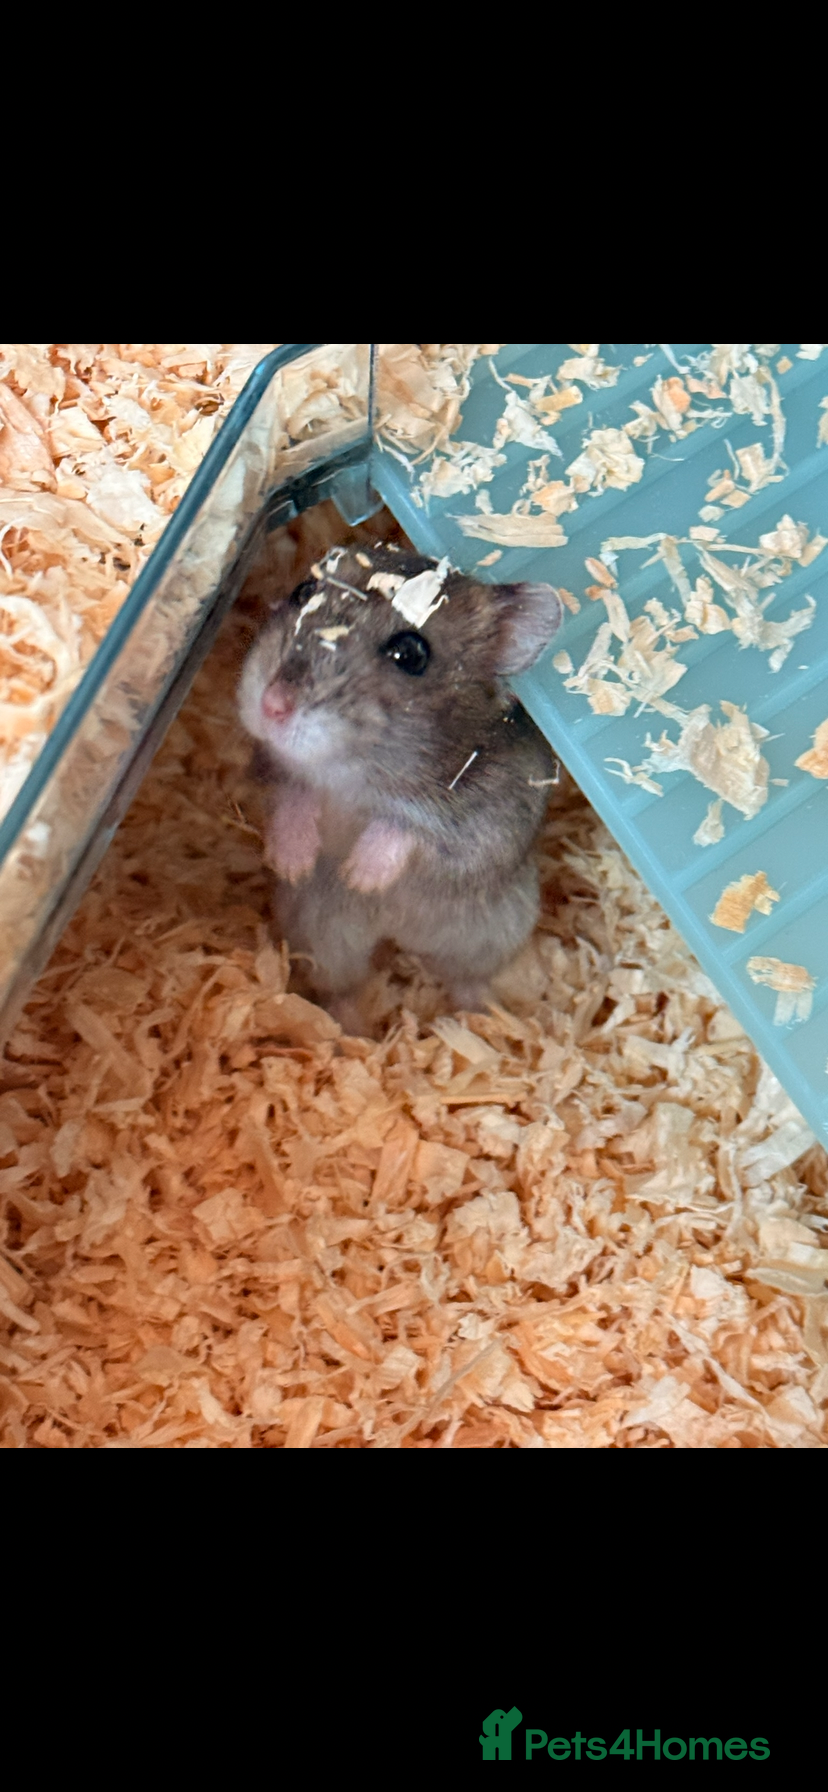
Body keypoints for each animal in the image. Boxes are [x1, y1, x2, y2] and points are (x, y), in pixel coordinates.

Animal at [238, 542, 564, 1027]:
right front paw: (292, 864)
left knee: (465, 979)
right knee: (343, 988)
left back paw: (482, 1017)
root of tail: (397, 935)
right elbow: (292, 795)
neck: (355, 773)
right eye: (303, 590)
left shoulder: (489, 820)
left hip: (493, 934)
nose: (272, 705)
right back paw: (353, 1032)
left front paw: (359, 876)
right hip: (323, 936)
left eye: (411, 654)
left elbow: (407, 828)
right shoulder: (267, 772)